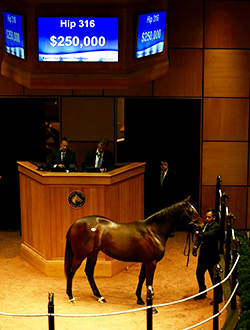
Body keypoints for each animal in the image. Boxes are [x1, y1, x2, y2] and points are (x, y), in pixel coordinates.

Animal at [64, 195, 201, 306]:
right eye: (191, 211)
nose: (201, 226)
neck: (153, 232)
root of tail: (75, 223)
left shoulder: (145, 261)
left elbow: (141, 278)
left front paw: (139, 299)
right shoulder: (151, 262)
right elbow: (149, 282)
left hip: (93, 253)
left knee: (89, 271)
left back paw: (100, 296)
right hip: (80, 255)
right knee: (71, 271)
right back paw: (71, 297)